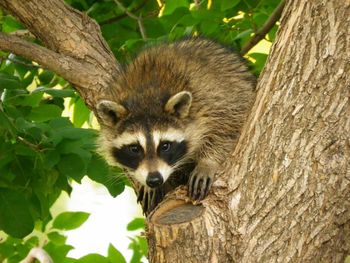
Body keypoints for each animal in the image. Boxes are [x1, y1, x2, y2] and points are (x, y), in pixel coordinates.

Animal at [97, 39, 256, 216]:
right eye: (134, 149)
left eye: (165, 146)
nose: (154, 180)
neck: (145, 97)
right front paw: (147, 185)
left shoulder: (213, 98)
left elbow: (228, 126)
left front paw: (207, 162)